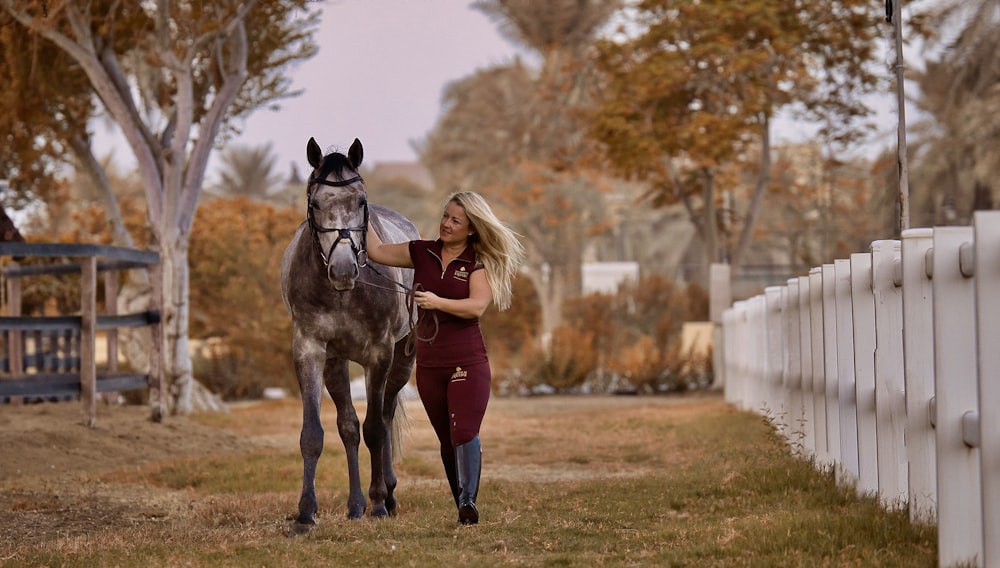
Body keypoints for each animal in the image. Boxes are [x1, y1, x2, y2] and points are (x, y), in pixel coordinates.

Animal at [278, 135, 418, 524]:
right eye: (314, 202)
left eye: (360, 201)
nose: (343, 270)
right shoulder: (311, 350)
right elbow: (316, 433)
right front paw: (306, 513)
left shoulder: (380, 353)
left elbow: (376, 429)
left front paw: (379, 503)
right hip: (337, 363)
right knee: (349, 427)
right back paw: (355, 505)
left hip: (403, 360)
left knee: (384, 416)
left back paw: (387, 495)